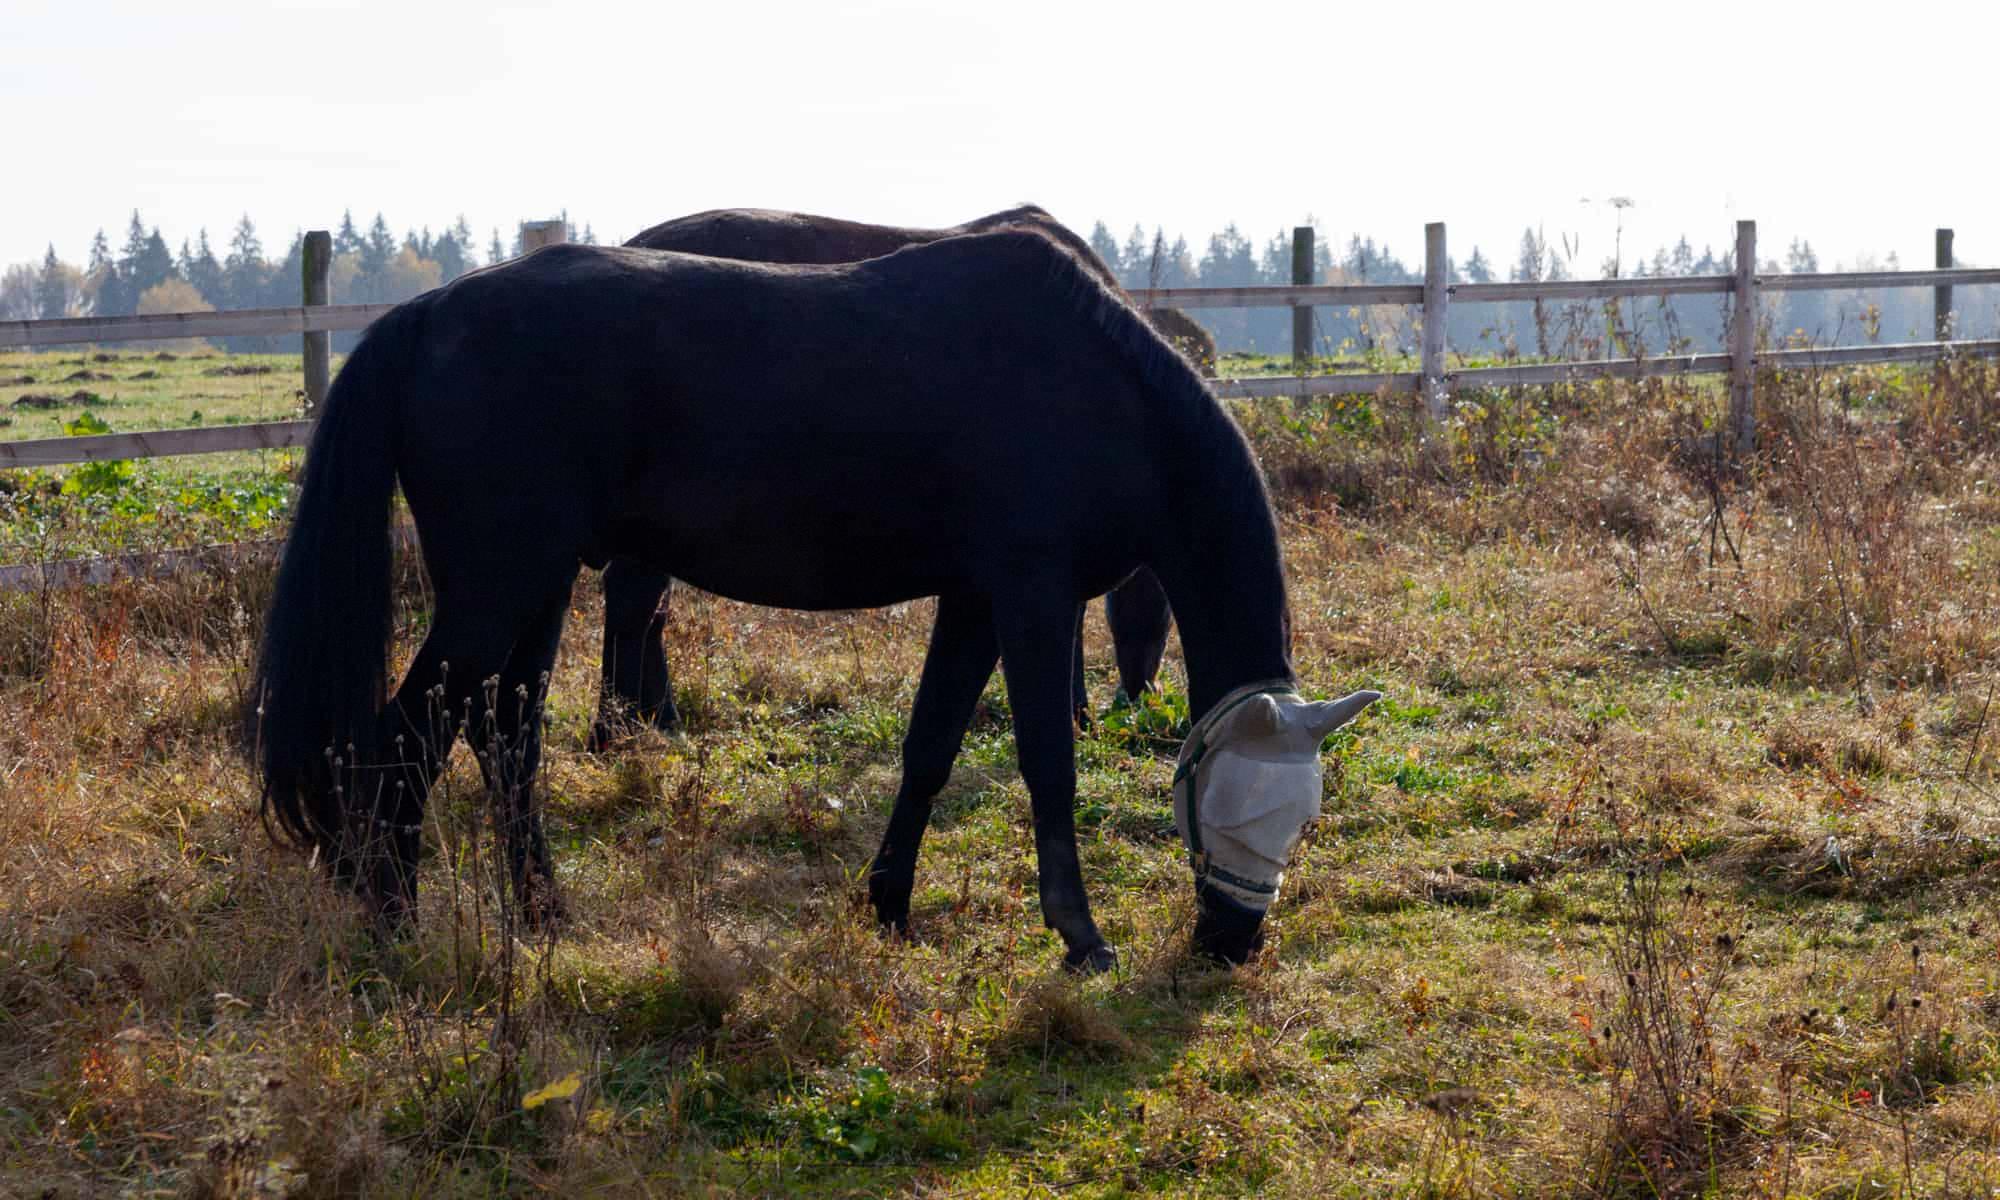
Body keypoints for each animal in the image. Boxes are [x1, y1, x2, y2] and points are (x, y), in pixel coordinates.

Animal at [593, 205, 1206, 745]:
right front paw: (1076, 713)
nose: (1141, 700)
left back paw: (652, 718)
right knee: (634, 602)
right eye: (1163, 619)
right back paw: (619, 726)